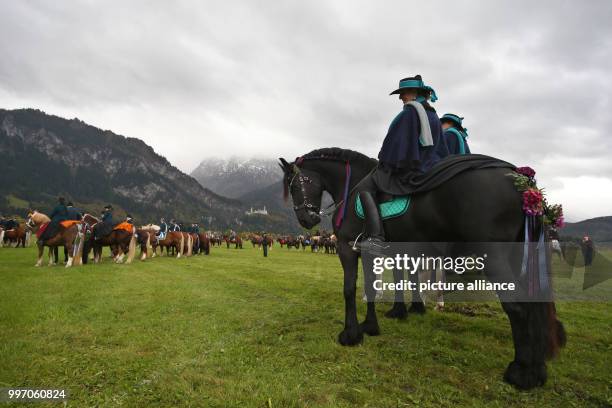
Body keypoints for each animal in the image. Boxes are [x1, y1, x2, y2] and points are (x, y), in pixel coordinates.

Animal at [280, 148, 568, 390]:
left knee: (518, 307)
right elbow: (373, 288)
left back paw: (521, 373)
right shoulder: (371, 251)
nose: (306, 219)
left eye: (294, 185)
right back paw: (537, 370)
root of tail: (521, 179)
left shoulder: (347, 247)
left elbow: (350, 289)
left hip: (494, 257)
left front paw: (350, 334)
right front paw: (370, 326)